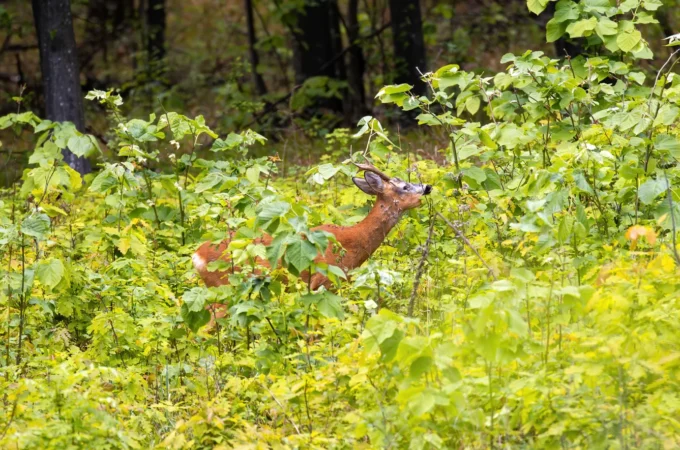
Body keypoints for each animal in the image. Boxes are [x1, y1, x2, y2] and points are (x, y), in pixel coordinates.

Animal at [192, 163, 432, 319]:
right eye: (404, 187)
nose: (428, 187)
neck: (352, 243)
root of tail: (197, 256)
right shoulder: (323, 282)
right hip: (226, 288)